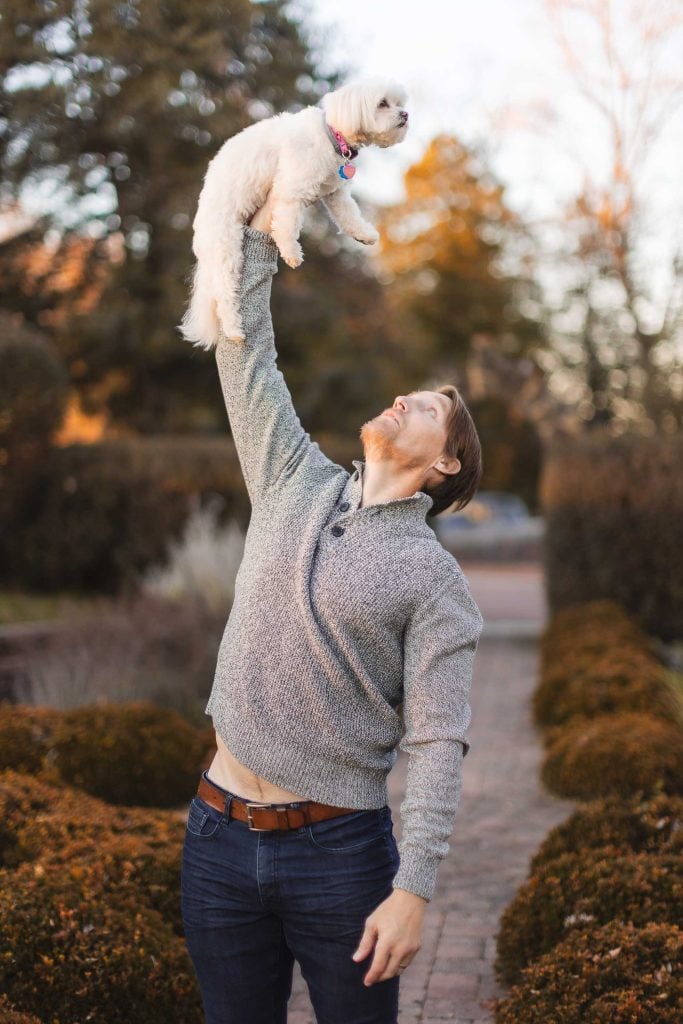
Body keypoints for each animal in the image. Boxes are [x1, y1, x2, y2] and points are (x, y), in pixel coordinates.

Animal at [179, 74, 409, 348]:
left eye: (399, 103)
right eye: (383, 103)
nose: (405, 114)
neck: (332, 136)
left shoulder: (335, 192)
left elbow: (349, 214)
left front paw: (364, 234)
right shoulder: (291, 190)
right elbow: (287, 226)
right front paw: (291, 253)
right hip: (226, 249)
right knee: (224, 295)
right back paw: (234, 330)